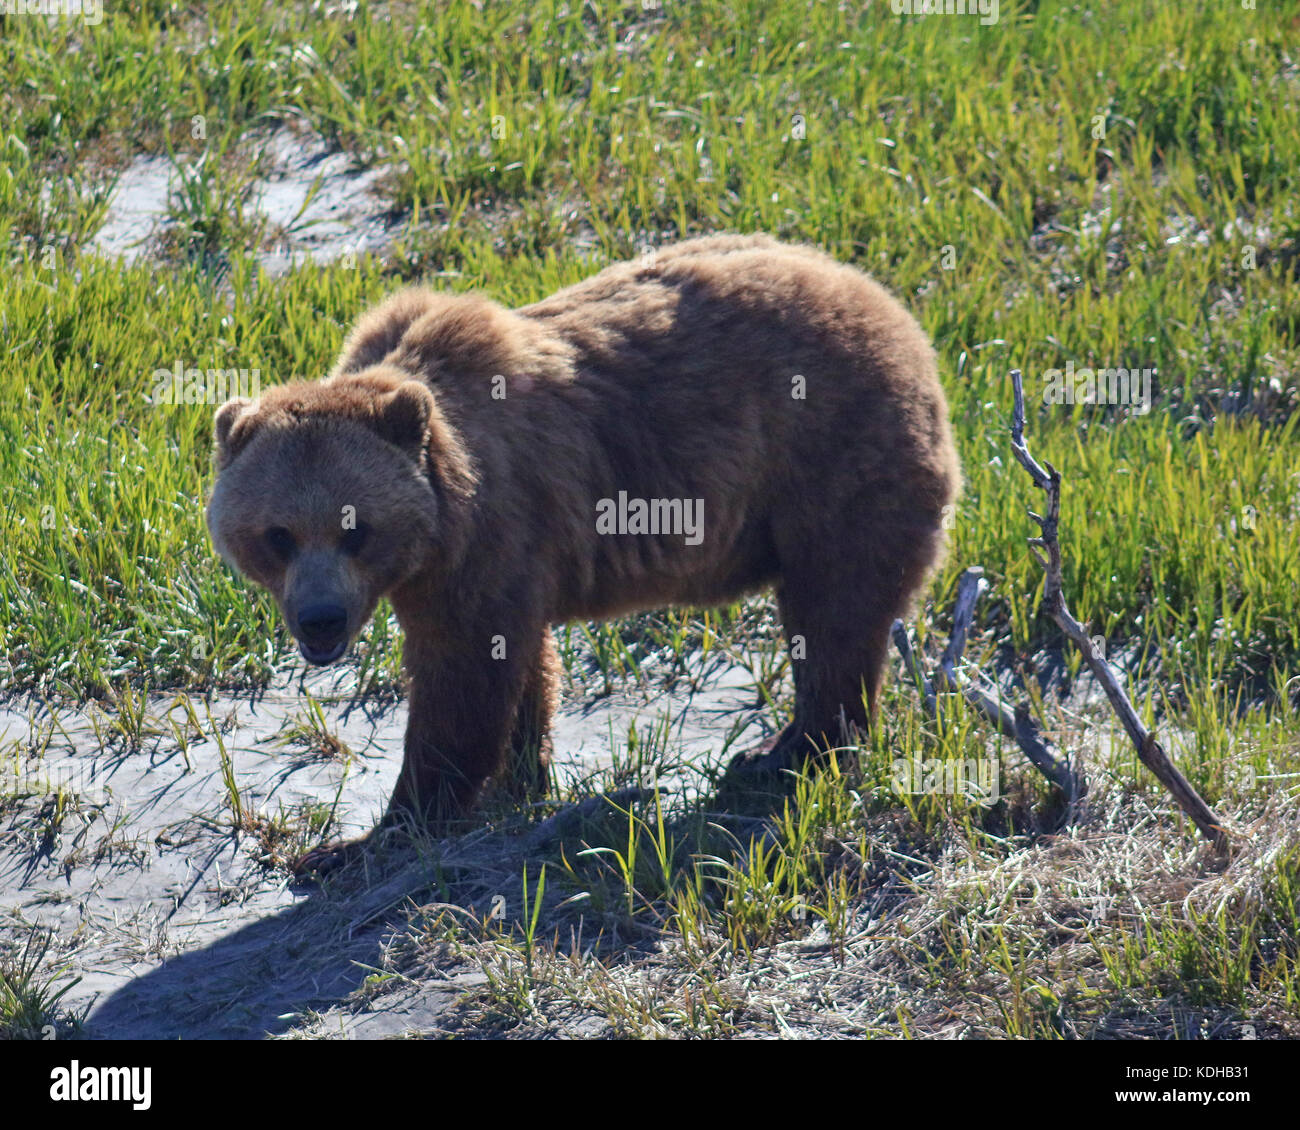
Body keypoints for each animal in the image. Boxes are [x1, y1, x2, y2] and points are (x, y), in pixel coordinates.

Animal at [205, 234, 961, 870]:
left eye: (354, 527)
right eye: (278, 534)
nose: (320, 620)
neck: (445, 514)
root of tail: (892, 306)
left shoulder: (489, 534)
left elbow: (460, 679)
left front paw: (364, 838)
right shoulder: (500, 558)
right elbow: (520, 663)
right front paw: (521, 777)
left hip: (833, 455)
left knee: (834, 610)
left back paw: (784, 754)